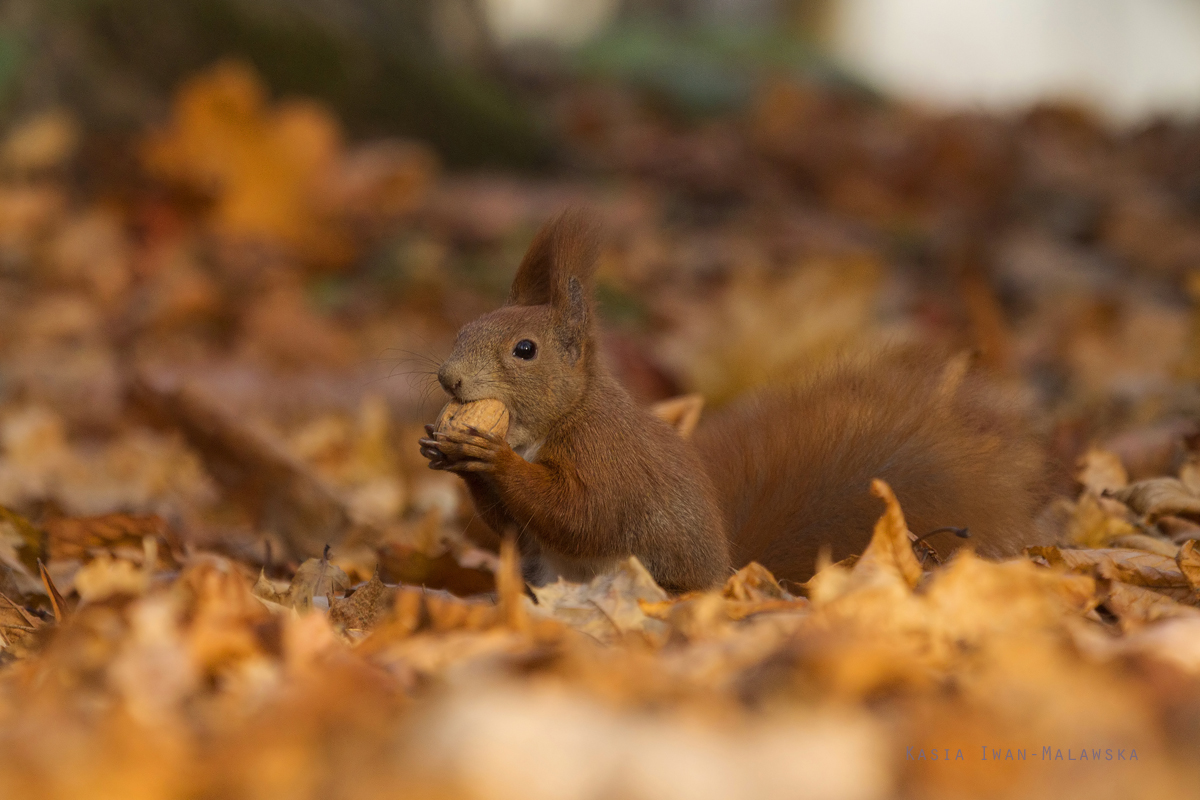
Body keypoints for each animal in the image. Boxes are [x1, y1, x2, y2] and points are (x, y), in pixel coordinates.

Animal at [417, 212, 1046, 594]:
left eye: (525, 350)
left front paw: (491, 459)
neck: (562, 416)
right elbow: (513, 526)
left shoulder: (607, 457)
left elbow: (584, 514)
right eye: (466, 328)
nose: (448, 379)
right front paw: (450, 454)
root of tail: (723, 580)